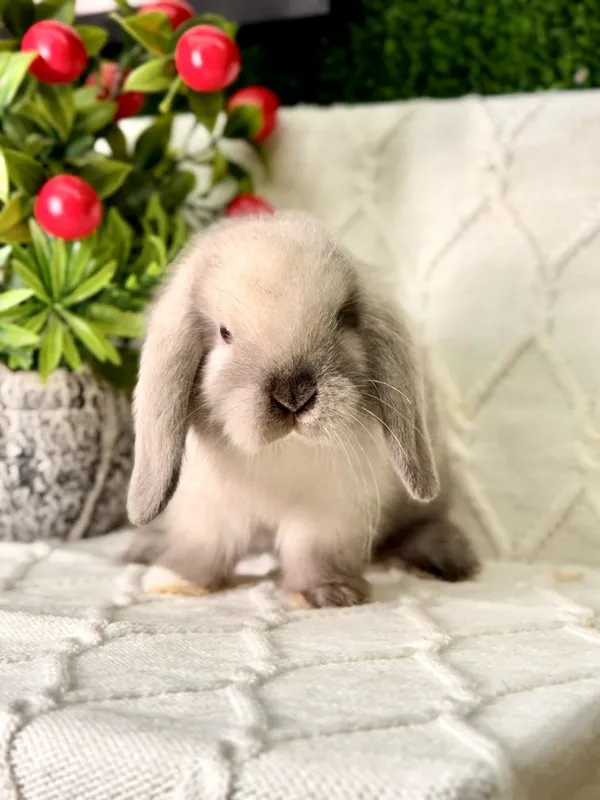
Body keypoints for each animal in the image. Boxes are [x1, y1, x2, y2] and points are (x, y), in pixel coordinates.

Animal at [125, 210, 479, 607]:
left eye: (341, 319)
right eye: (224, 333)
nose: (293, 395)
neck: (284, 450)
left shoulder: (329, 511)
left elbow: (314, 550)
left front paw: (328, 594)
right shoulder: (210, 508)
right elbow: (204, 546)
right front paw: (175, 582)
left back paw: (443, 557)